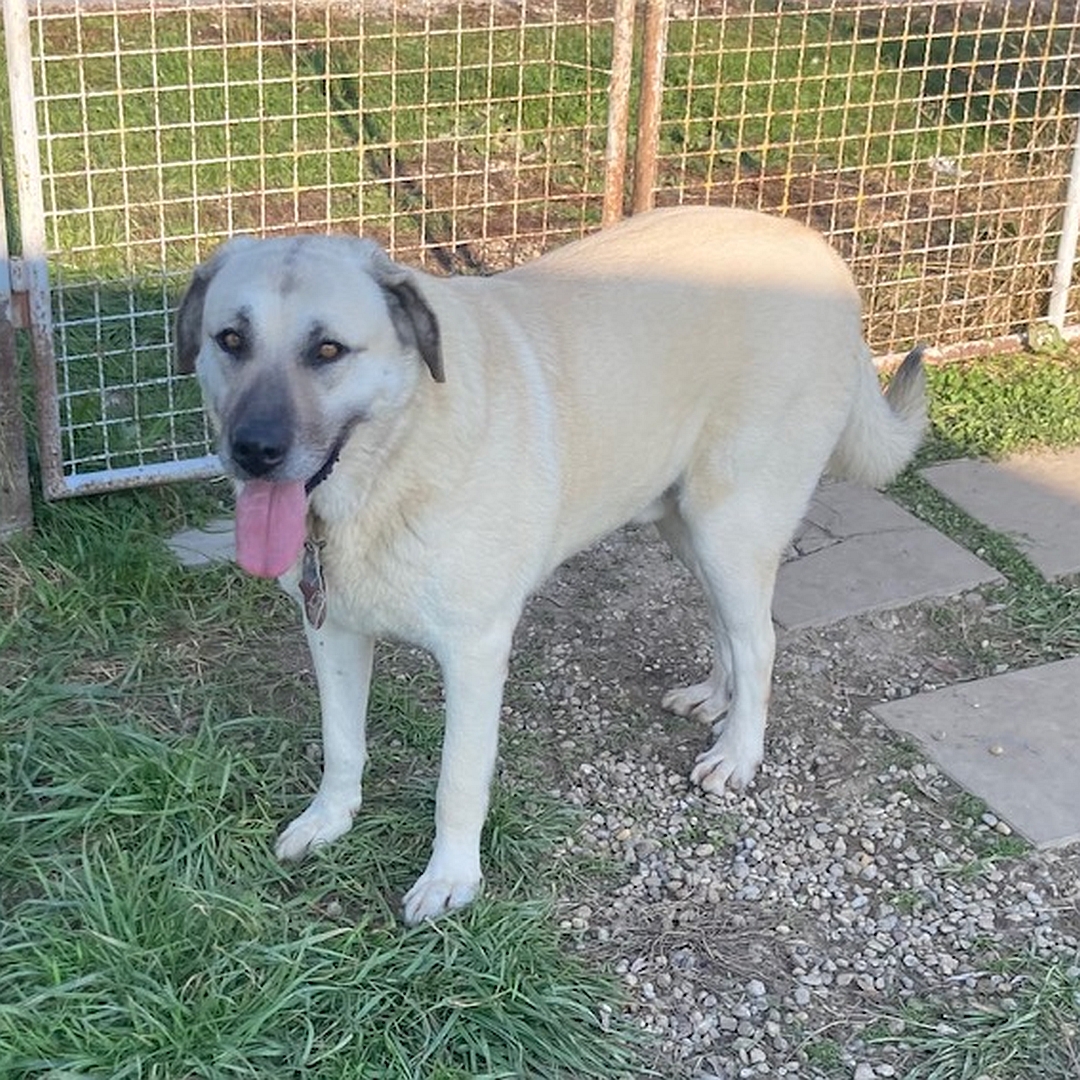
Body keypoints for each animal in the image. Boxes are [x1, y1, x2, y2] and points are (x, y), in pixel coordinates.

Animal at [177, 206, 928, 924]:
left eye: (328, 349)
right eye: (231, 340)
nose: (253, 451)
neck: (394, 459)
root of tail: (820, 252)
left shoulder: (475, 653)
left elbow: (458, 780)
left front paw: (451, 881)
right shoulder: (331, 629)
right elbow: (341, 744)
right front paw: (328, 822)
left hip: (732, 522)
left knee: (761, 639)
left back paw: (738, 755)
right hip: (688, 525)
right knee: (731, 627)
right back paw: (716, 696)